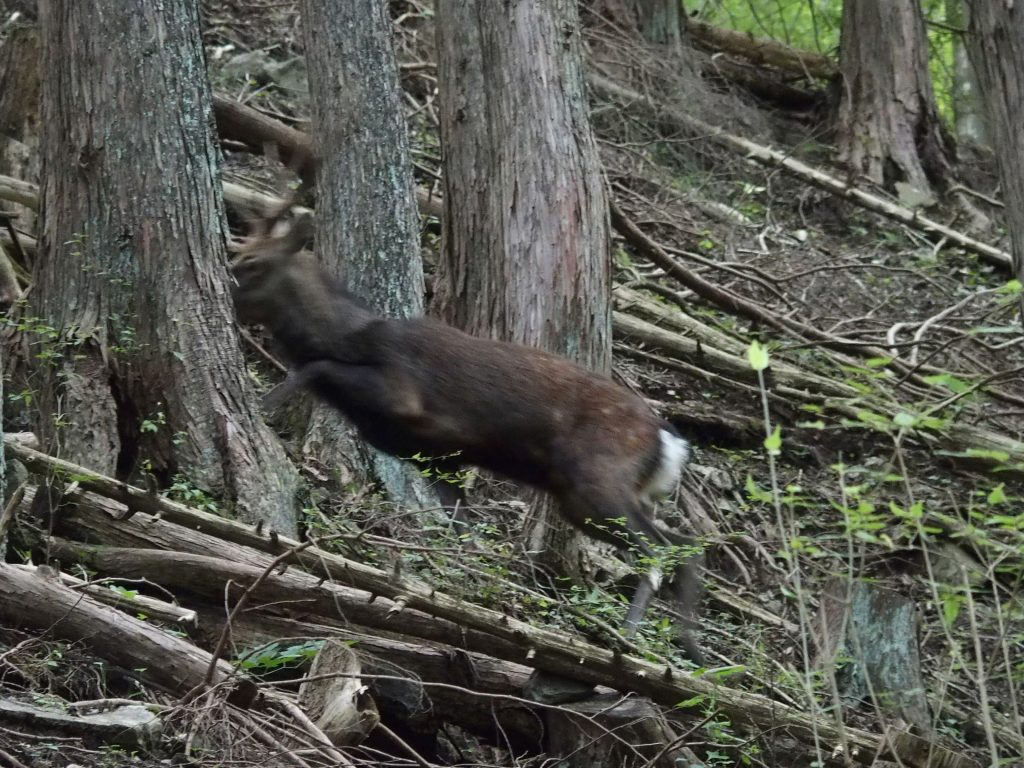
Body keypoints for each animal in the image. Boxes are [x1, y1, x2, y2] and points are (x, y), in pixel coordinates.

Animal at [228, 207, 704, 663]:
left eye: (251, 262)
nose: (229, 296)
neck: (353, 337)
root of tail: (670, 442)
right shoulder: (441, 461)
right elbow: (463, 532)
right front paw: (468, 590)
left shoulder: (404, 395)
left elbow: (315, 367)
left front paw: (265, 406)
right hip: (593, 496)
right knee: (683, 545)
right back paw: (689, 648)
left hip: (595, 478)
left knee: (657, 550)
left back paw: (629, 638)